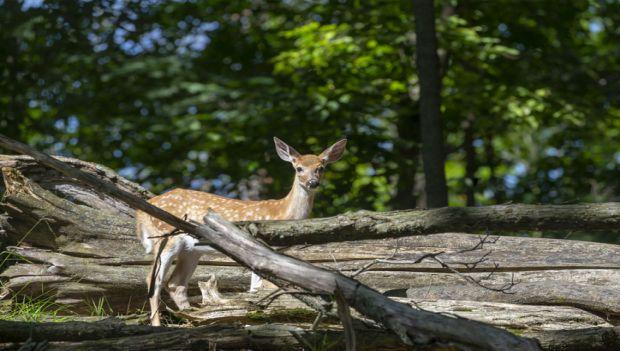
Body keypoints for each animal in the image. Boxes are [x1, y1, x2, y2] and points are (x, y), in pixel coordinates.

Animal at [136, 136, 346, 326]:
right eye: (298, 168)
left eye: (321, 167)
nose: (312, 183)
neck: (282, 213)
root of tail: (143, 210)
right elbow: (261, 287)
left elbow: (255, 289)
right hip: (166, 237)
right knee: (153, 280)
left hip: (191, 250)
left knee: (176, 283)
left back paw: (194, 318)